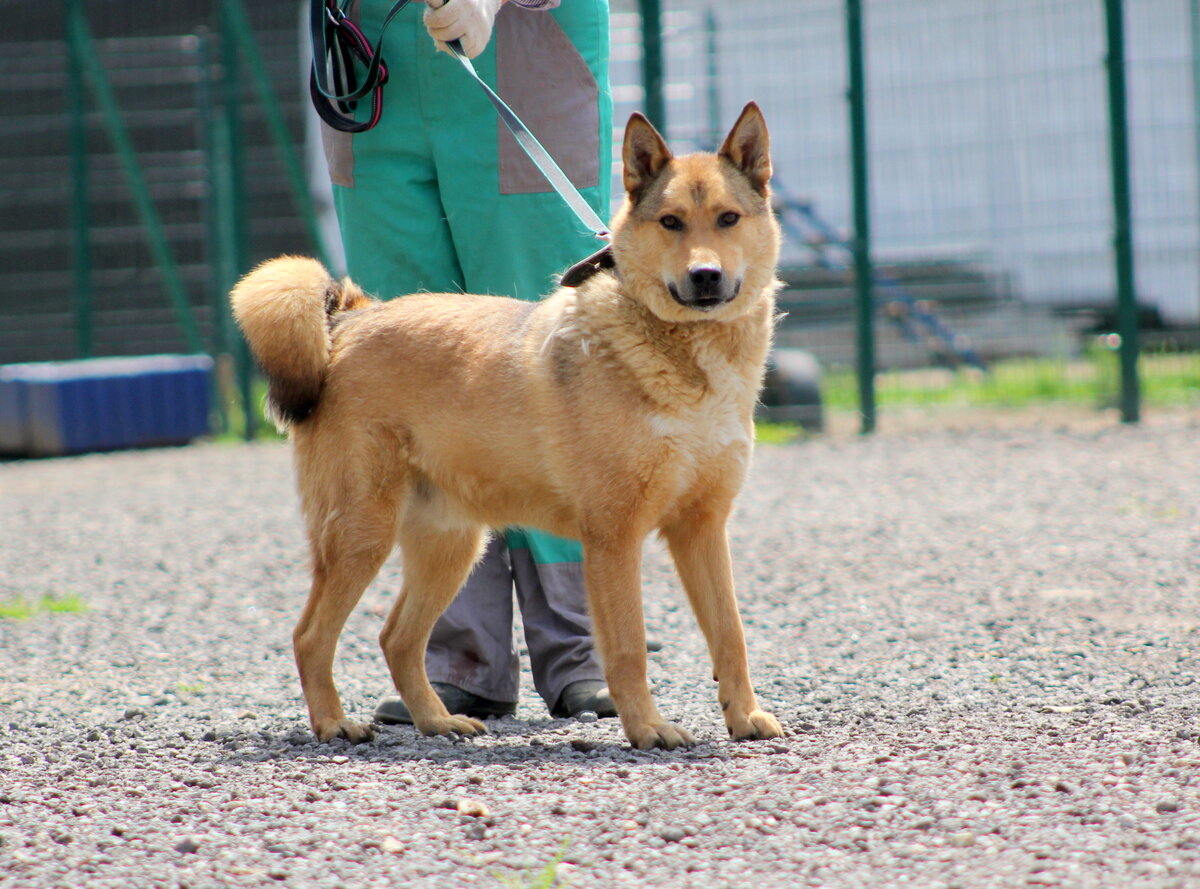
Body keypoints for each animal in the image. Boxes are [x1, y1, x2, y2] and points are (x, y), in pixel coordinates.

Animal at [231, 102, 787, 748]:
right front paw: (648, 728)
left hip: (451, 545)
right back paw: (333, 723)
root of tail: (349, 321)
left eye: (728, 218)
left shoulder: (703, 528)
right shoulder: (614, 537)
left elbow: (730, 632)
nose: (705, 276)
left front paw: (743, 716)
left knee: (396, 638)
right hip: (361, 535)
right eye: (671, 222)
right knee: (311, 635)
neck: (683, 352)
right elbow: (628, 647)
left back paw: (437, 720)